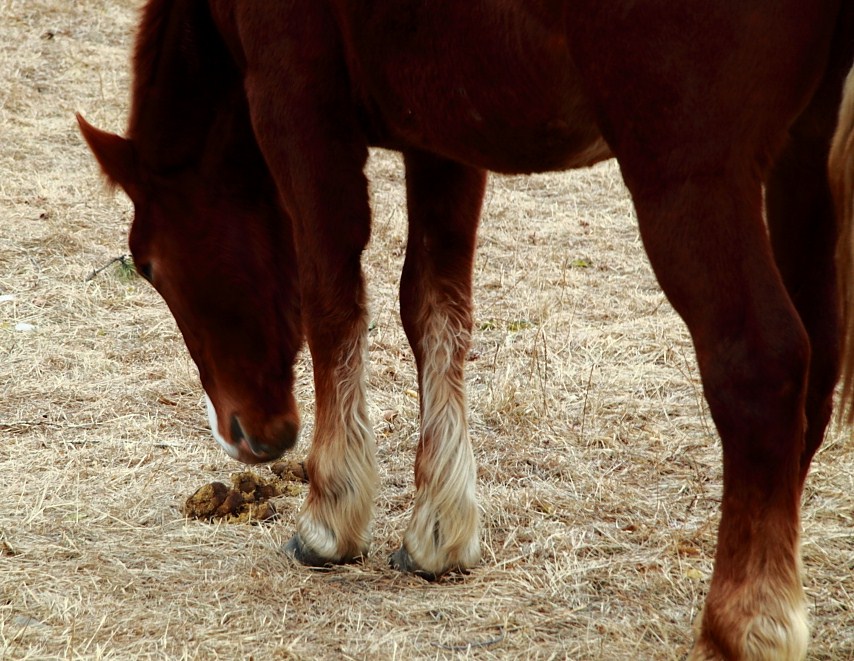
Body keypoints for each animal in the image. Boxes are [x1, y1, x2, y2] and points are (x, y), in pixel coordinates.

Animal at [80, 2, 854, 656]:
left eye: (147, 264)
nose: (247, 435)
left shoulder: (297, 108)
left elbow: (333, 299)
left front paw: (330, 517)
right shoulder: (441, 131)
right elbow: (432, 307)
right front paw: (439, 531)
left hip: (691, 174)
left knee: (761, 364)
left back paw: (744, 623)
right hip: (802, 158)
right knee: (815, 370)